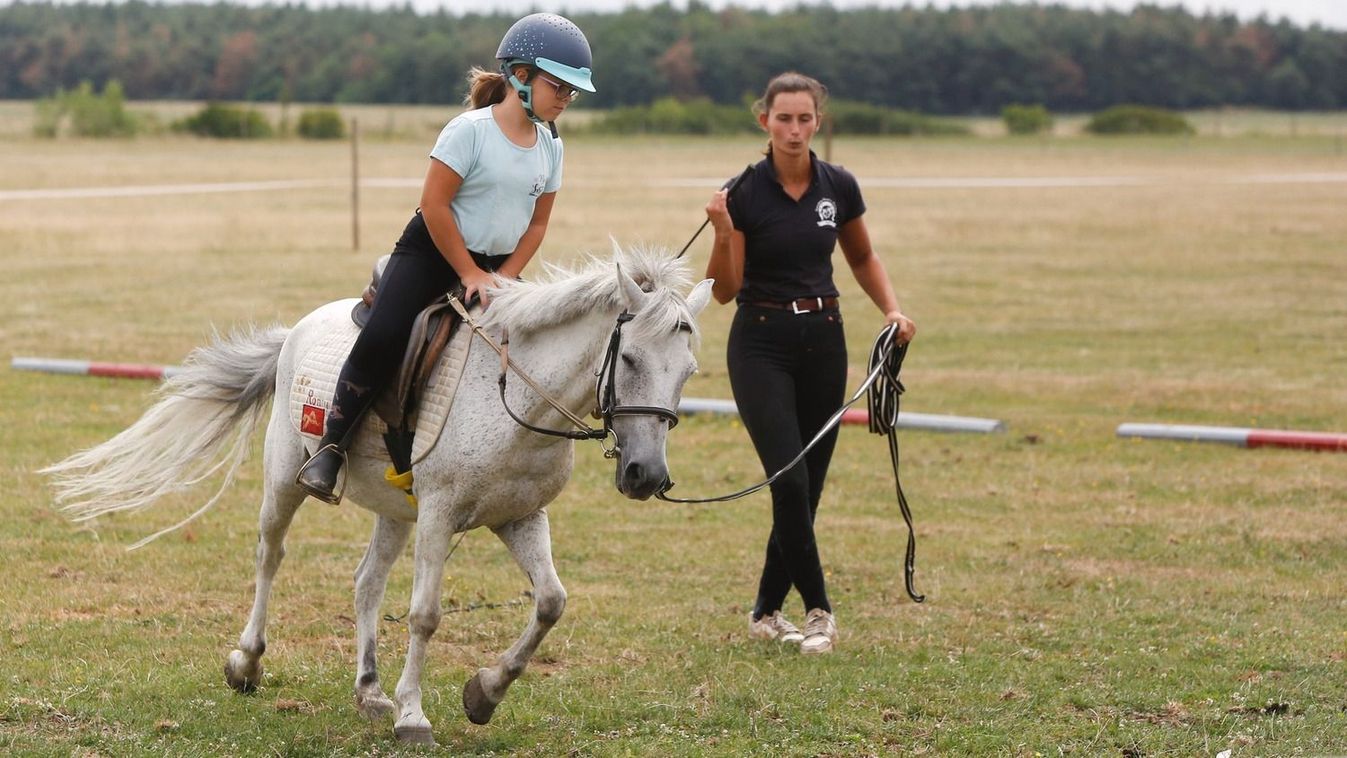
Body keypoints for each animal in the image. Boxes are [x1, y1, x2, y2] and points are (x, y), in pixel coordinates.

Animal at [43, 245, 716, 748]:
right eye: (630, 359)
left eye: (688, 372)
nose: (646, 476)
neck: (514, 391)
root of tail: (300, 328)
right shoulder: (440, 515)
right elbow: (425, 614)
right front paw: (414, 715)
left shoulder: (521, 516)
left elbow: (551, 602)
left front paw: (484, 692)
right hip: (285, 479)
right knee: (269, 555)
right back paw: (248, 662)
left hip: (397, 510)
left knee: (366, 580)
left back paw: (369, 688)